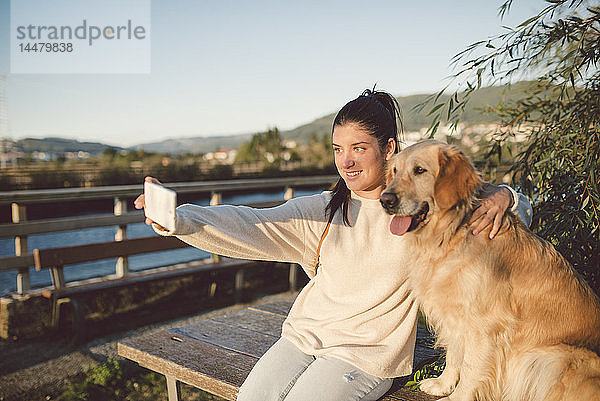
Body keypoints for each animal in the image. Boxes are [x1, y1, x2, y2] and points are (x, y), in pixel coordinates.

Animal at [380, 139, 600, 398]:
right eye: (394, 171)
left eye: (420, 170)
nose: (385, 200)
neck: (451, 233)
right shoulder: (454, 313)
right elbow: (454, 353)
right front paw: (443, 384)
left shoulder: (485, 323)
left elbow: (472, 366)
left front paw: (458, 397)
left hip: (554, 358)